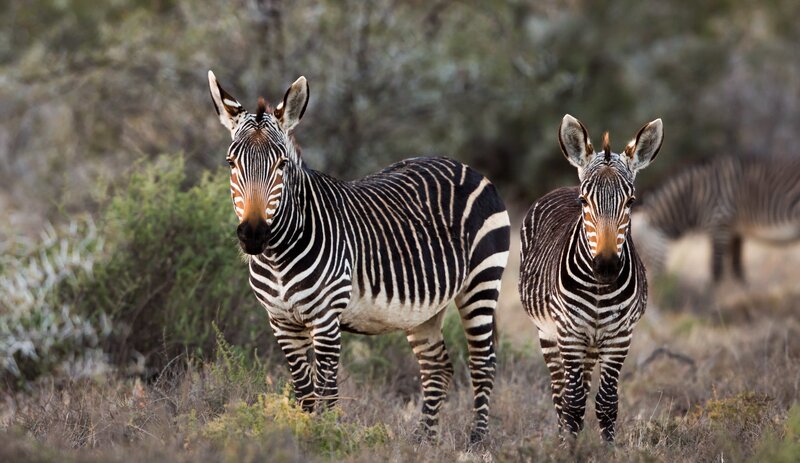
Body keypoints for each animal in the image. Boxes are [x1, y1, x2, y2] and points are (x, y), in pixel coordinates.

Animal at [207, 71, 510, 444]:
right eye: (231, 163)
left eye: (281, 164)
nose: (253, 234)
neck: (277, 256)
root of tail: (465, 166)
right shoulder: (281, 322)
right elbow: (305, 393)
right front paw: (302, 438)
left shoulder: (326, 319)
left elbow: (327, 393)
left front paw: (324, 439)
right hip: (423, 308)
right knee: (437, 366)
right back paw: (423, 440)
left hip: (482, 280)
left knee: (483, 363)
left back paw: (475, 440)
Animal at [519, 115, 663, 442]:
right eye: (584, 201)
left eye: (631, 201)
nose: (606, 267)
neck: (599, 291)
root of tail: (563, 186)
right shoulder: (568, 332)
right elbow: (571, 402)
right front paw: (569, 447)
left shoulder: (619, 337)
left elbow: (607, 402)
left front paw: (606, 447)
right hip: (549, 334)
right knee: (560, 392)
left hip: (589, 343)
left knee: (582, 387)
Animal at [632, 155, 800, 284]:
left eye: (640, 253)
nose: (654, 289)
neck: (696, 196)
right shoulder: (734, 231)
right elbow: (737, 267)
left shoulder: (720, 225)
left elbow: (716, 269)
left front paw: (715, 299)